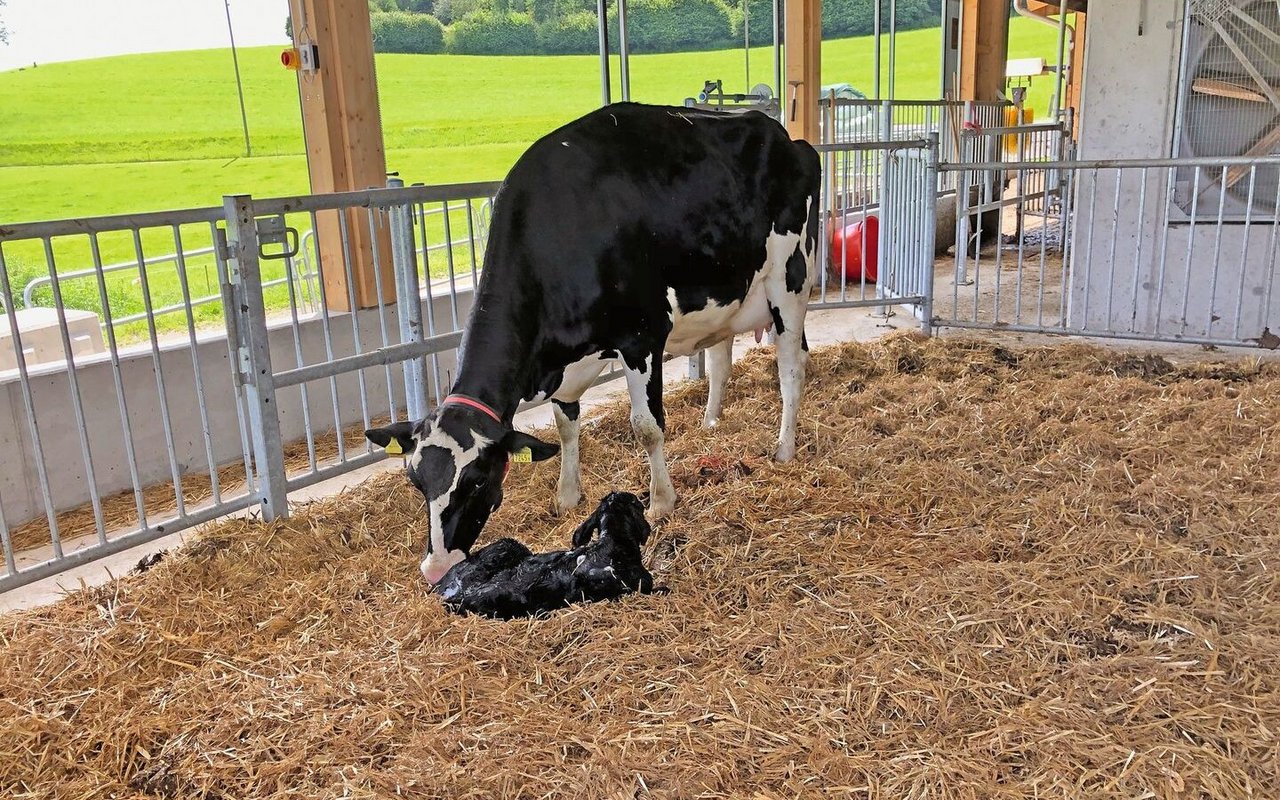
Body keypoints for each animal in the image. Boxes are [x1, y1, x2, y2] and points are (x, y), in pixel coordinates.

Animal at [366, 103, 819, 583]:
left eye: (476, 480)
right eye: (415, 480)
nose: (436, 569)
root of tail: (781, 133)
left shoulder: (642, 337)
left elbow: (647, 427)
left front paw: (662, 501)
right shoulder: (564, 364)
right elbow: (566, 426)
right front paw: (567, 495)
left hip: (790, 283)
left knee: (791, 370)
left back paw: (784, 448)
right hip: (727, 294)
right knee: (720, 361)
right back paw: (711, 421)